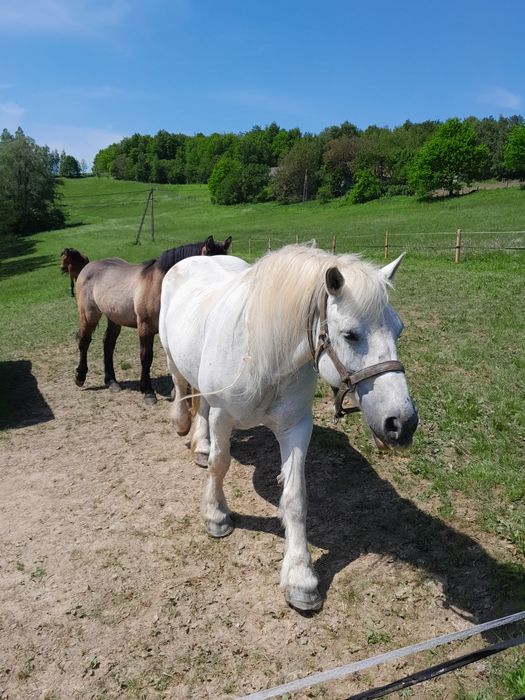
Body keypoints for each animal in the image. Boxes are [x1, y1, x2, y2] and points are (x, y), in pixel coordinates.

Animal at [73, 237, 231, 404]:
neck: (161, 285)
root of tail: (88, 266)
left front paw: (178, 392)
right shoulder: (145, 327)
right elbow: (146, 358)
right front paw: (148, 392)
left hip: (114, 318)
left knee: (108, 344)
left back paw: (111, 381)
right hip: (89, 315)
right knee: (84, 341)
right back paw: (80, 376)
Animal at [160, 243, 418, 608]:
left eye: (399, 329)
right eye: (350, 335)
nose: (403, 423)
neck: (262, 354)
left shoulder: (295, 427)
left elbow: (295, 497)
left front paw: (300, 577)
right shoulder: (224, 416)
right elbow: (219, 465)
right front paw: (216, 515)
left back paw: (200, 442)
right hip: (172, 357)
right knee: (184, 389)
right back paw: (188, 429)